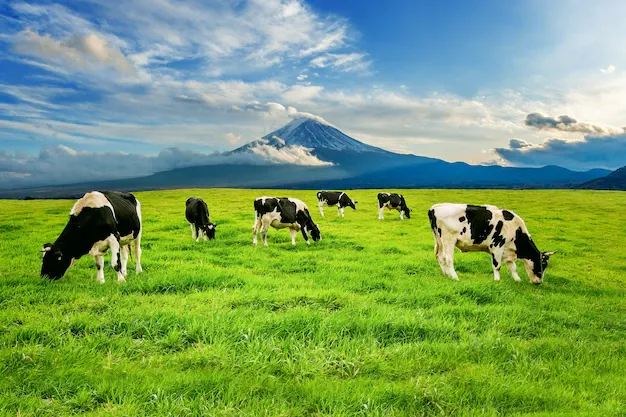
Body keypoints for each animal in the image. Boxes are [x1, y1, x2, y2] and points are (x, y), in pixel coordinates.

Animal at [424, 204, 556, 284]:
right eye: (543, 264)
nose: (539, 281)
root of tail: (434, 208)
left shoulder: (507, 250)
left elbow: (512, 267)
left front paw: (517, 279)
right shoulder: (497, 245)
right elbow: (497, 265)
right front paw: (497, 280)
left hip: (439, 241)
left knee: (440, 257)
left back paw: (446, 275)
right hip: (448, 239)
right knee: (448, 258)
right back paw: (455, 277)